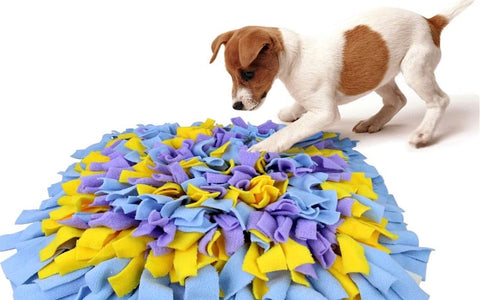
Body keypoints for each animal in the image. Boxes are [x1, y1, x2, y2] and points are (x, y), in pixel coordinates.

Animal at [209, 0, 472, 152]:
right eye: (230, 74)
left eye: (248, 73)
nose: (236, 106)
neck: (296, 57)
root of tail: (430, 22)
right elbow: (295, 110)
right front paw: (292, 112)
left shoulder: (325, 113)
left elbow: (290, 132)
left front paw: (263, 148)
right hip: (378, 73)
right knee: (397, 100)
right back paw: (373, 122)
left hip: (415, 68)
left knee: (439, 100)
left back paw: (423, 134)